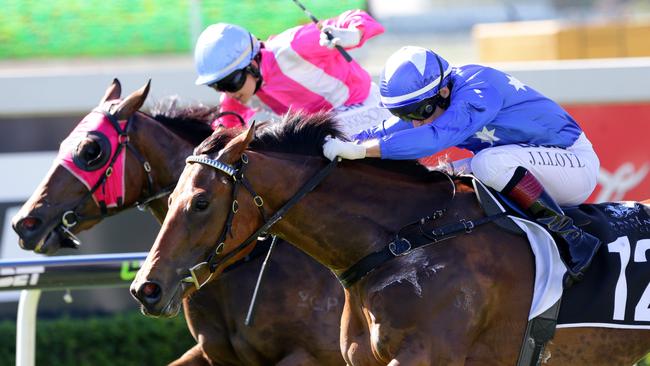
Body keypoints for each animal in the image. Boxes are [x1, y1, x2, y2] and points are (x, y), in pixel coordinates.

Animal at [12, 80, 342, 366]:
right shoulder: (214, 353)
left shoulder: (313, 355)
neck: (248, 261)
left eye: (91, 151)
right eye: (64, 142)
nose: (25, 222)